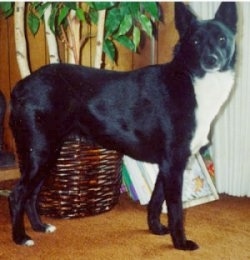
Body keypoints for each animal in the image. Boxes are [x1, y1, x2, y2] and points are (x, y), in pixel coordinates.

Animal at [8, 2, 237, 250]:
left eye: (222, 39)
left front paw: (156, 230)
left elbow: (156, 202)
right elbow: (175, 210)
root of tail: (21, 87)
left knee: (31, 196)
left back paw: (40, 227)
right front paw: (181, 244)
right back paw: (21, 238)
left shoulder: (165, 165)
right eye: (195, 42)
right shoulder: (174, 164)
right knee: (17, 195)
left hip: (47, 156)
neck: (191, 80)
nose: (212, 59)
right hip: (40, 154)